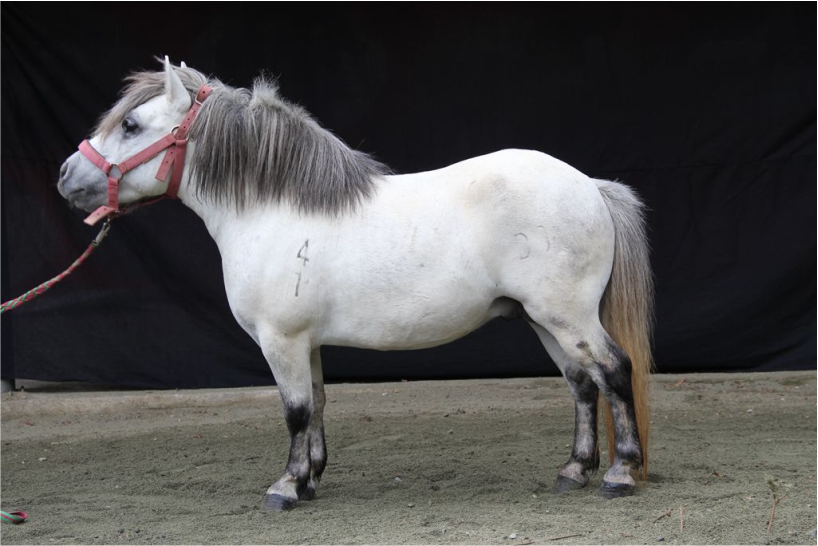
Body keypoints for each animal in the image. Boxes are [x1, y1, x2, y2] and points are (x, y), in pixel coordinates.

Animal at [57, 57, 654, 511]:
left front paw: (285, 487)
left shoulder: (281, 340)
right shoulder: (305, 342)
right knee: (582, 385)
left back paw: (620, 474)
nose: (67, 176)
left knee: (613, 371)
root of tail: (591, 186)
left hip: (567, 316)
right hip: (544, 320)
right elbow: (318, 403)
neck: (274, 211)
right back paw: (573, 470)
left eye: (132, 126)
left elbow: (295, 410)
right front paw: (310, 479)